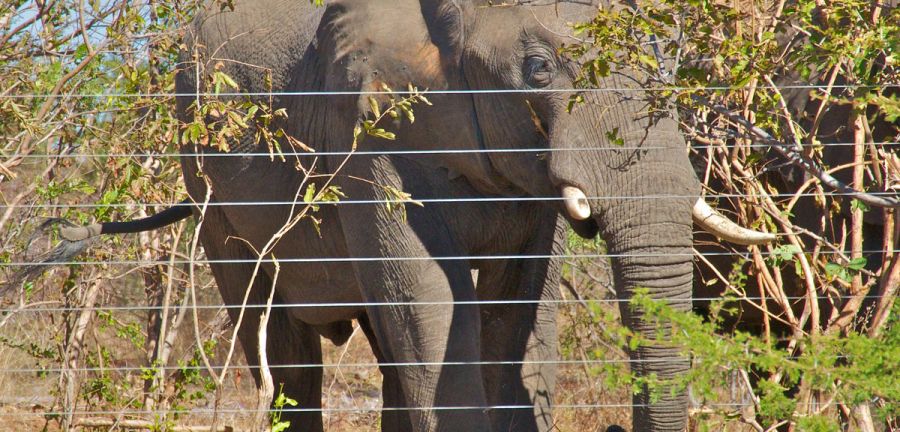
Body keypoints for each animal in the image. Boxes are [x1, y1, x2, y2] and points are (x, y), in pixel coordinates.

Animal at [42, 0, 775, 431]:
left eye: (672, 64)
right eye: (539, 69)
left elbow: (517, 312)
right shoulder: (371, 132)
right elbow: (431, 306)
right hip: (204, 173)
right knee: (286, 354)